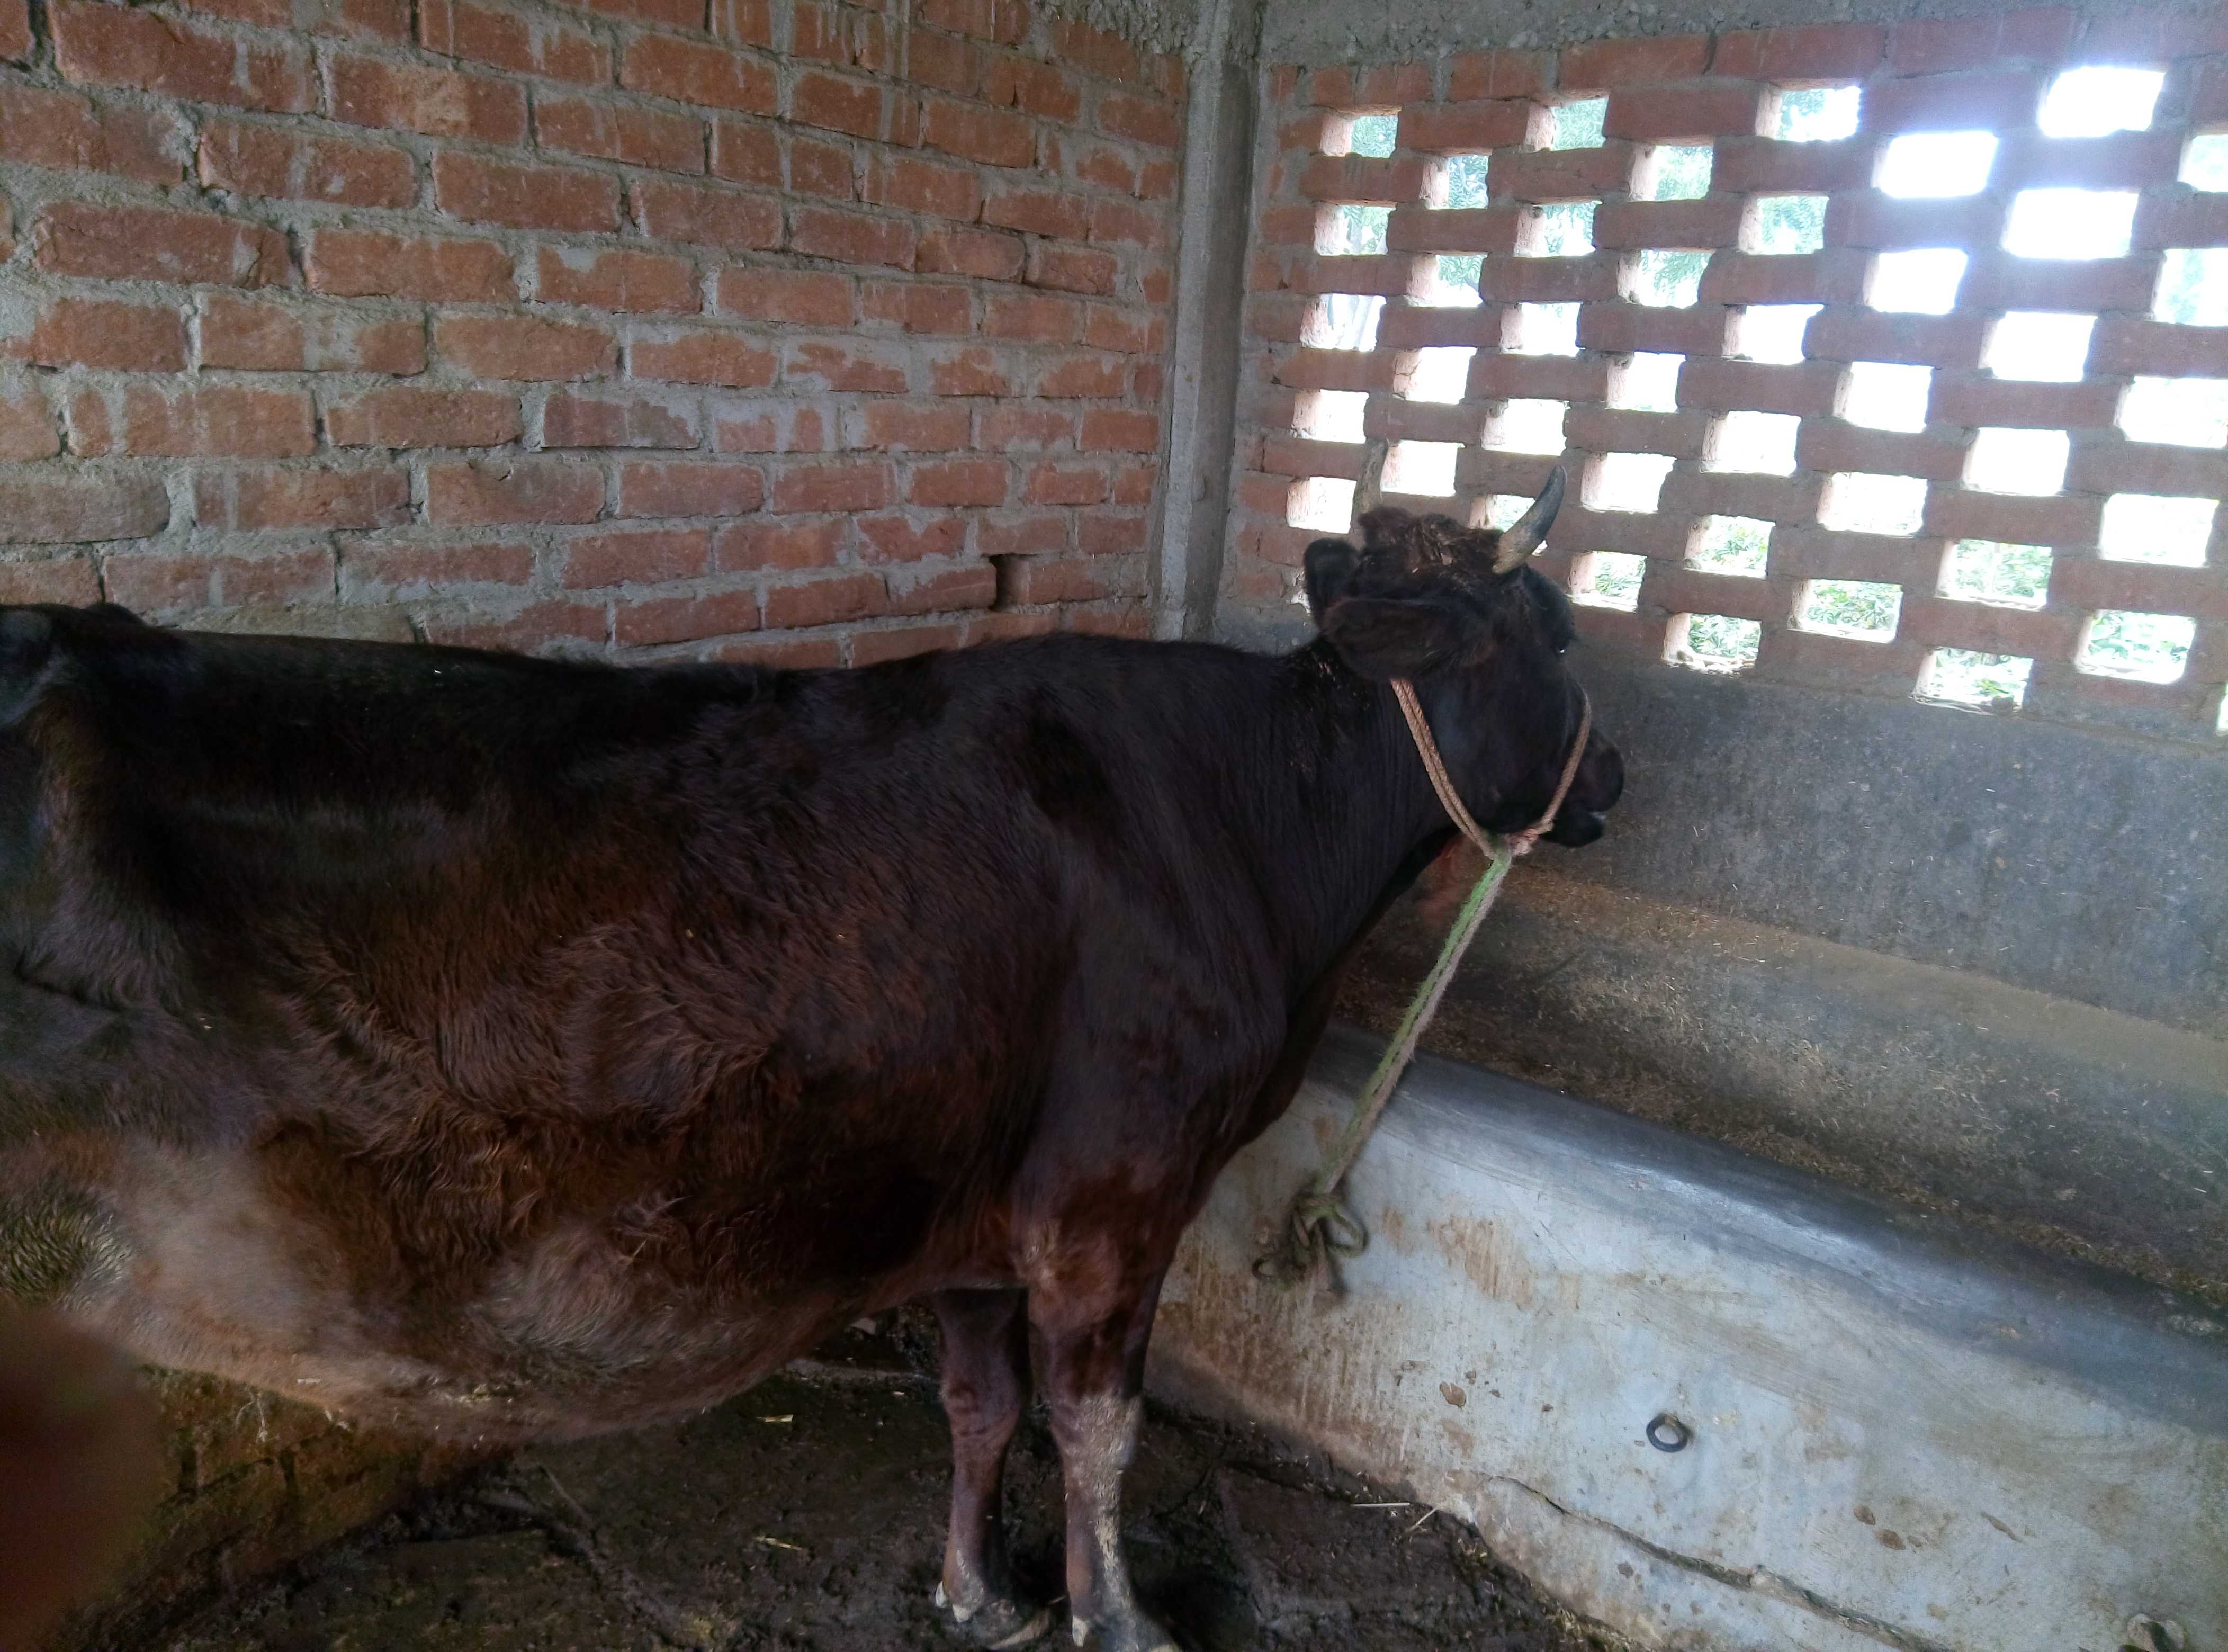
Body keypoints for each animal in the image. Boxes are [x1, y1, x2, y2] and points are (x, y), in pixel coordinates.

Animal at [0, 467, 1619, 1652]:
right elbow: (1099, 1425)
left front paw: (978, 1596)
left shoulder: (981, 1202)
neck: (1247, 833)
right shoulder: (1114, 1192)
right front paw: (1121, 1624)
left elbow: (982, 1406)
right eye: (1557, 632)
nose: (1614, 770)